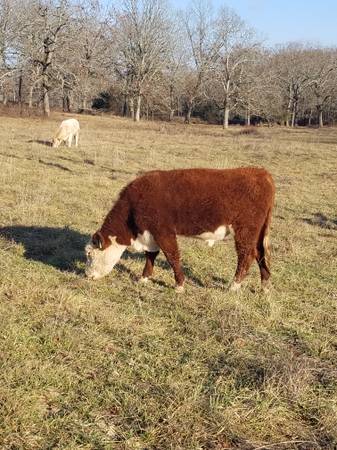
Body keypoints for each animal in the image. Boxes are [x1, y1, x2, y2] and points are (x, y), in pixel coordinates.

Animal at [84, 168, 272, 292]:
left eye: (89, 254)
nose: (87, 275)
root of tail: (260, 172)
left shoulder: (164, 232)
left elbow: (172, 256)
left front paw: (179, 285)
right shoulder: (150, 234)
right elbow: (151, 255)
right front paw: (144, 278)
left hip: (245, 230)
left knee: (246, 255)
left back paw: (234, 286)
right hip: (257, 231)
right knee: (259, 253)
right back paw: (264, 285)